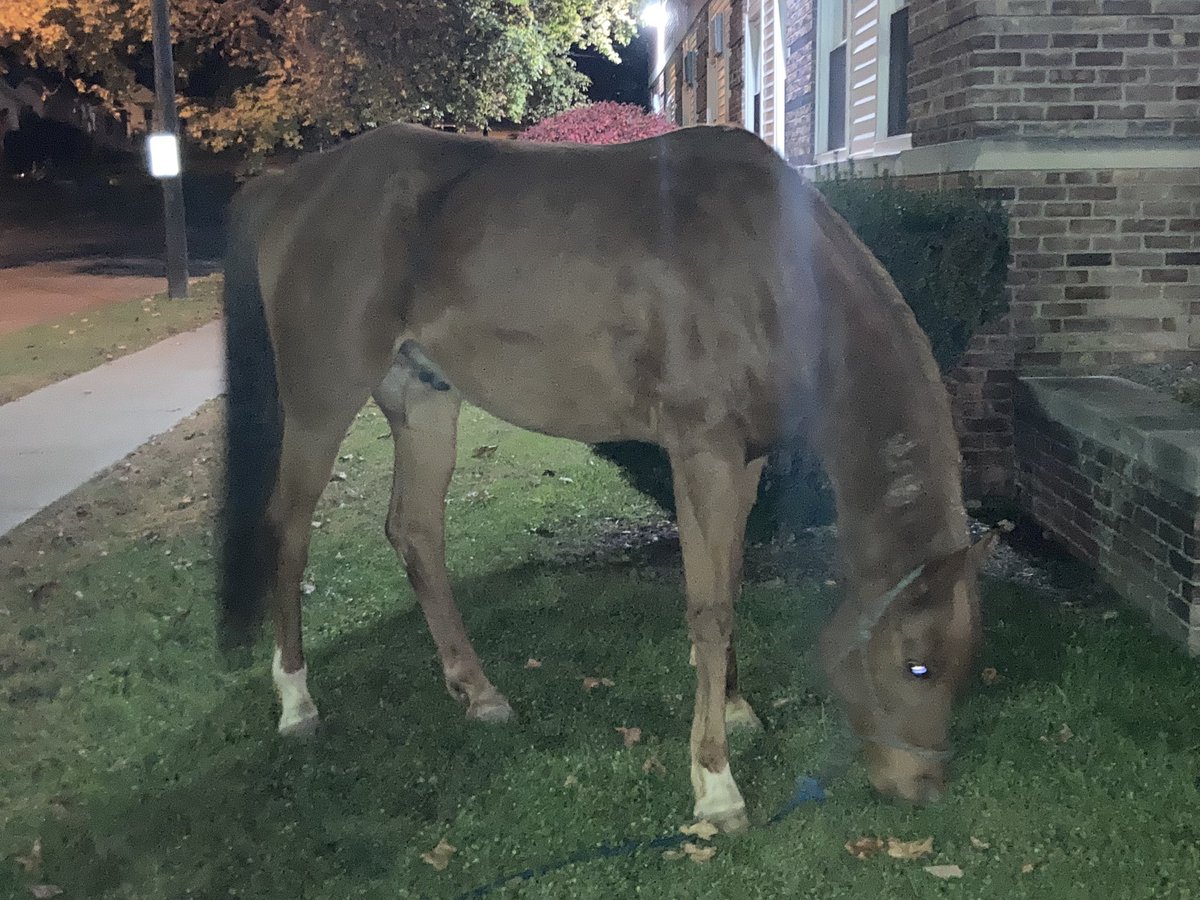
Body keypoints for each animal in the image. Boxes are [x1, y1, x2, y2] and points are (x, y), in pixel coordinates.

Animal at [218, 122, 999, 832]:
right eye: (918, 665)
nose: (922, 787)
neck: (765, 268)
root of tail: (293, 185)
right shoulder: (701, 451)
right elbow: (709, 607)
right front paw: (716, 784)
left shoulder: (745, 459)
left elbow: (729, 579)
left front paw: (736, 707)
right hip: (320, 402)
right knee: (289, 529)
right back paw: (297, 701)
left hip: (424, 400)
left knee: (415, 533)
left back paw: (478, 691)